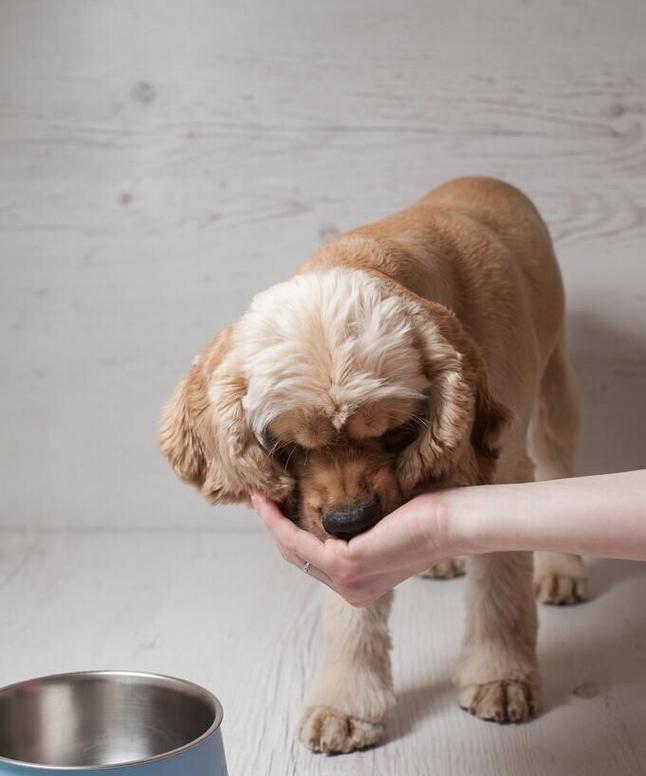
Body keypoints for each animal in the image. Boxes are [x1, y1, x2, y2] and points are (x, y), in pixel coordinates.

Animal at [161, 177, 588, 752]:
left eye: (393, 431)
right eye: (288, 446)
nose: (350, 521)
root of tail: (486, 179)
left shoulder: (502, 468)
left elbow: (500, 590)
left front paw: (501, 678)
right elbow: (351, 612)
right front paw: (344, 705)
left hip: (555, 383)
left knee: (558, 459)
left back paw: (563, 570)